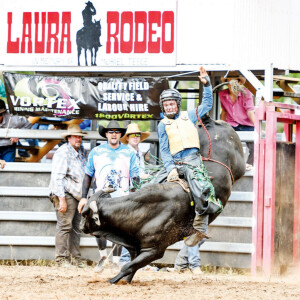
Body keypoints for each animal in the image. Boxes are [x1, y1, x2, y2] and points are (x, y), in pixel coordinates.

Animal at [81, 115, 245, 284]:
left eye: (85, 213)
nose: (80, 227)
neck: (138, 210)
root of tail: (211, 122)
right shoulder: (135, 248)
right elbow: (131, 267)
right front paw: (123, 281)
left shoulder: (155, 250)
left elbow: (127, 266)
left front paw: (112, 280)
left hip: (238, 165)